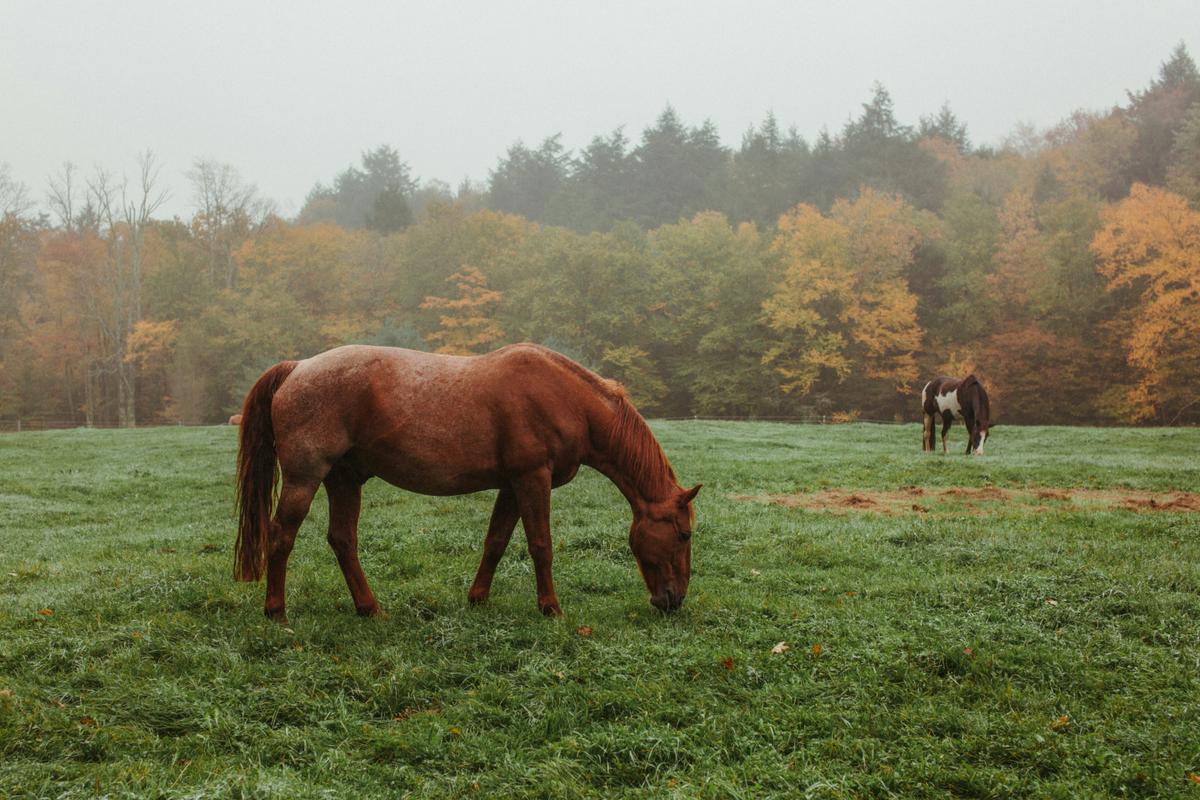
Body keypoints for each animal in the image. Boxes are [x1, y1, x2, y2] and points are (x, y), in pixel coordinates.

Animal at [232, 340, 700, 623]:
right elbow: (541, 545)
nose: (673, 599)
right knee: (281, 536)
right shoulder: (532, 479)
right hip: (305, 477)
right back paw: (277, 612)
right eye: (683, 533)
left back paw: (370, 608)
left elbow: (496, 542)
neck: (565, 398)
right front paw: (550, 608)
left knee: (342, 540)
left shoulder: (512, 485)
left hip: (344, 479)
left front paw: (477, 599)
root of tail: (297, 367)